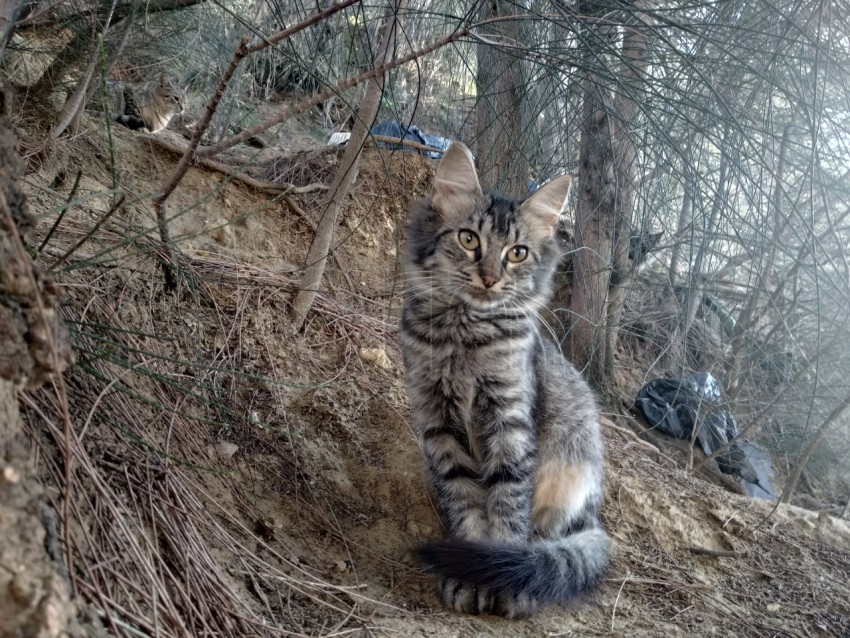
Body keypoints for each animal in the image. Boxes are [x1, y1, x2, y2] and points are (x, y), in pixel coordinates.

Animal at [400, 144, 608, 620]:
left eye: (517, 253)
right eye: (468, 240)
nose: (490, 277)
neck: (465, 333)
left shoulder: (509, 420)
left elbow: (508, 504)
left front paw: (501, 576)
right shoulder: (439, 425)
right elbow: (464, 503)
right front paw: (467, 576)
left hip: (569, 472)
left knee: (547, 535)